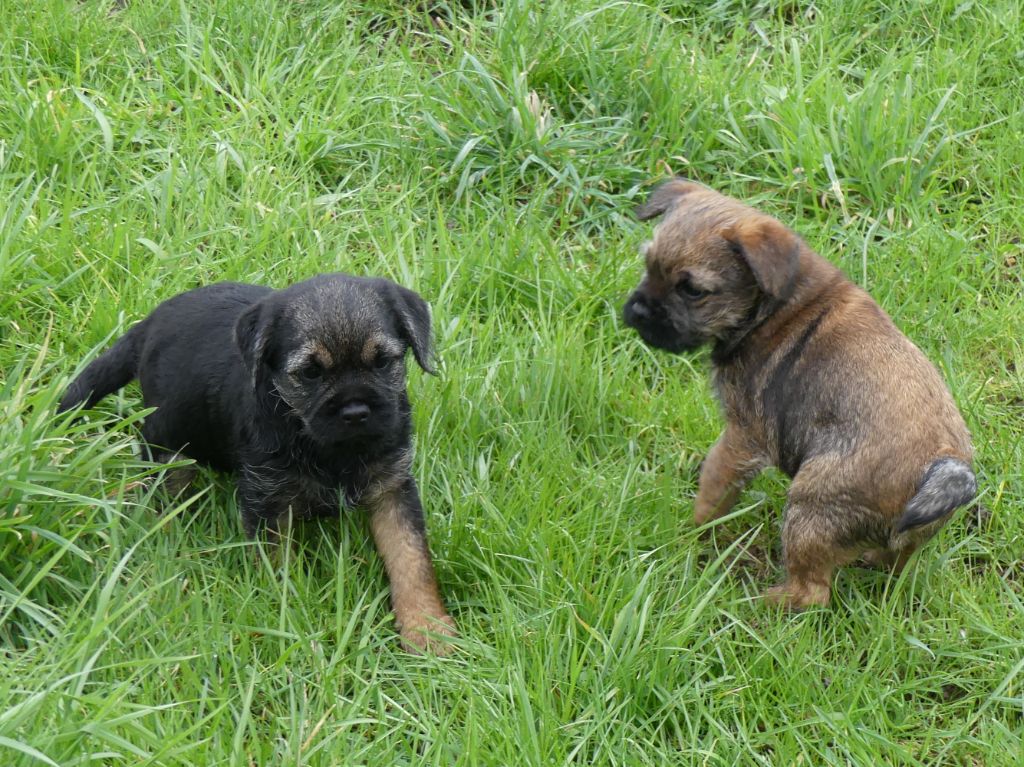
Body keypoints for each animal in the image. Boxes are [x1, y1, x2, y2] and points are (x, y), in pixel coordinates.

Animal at [58, 272, 454, 651]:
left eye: (383, 362)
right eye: (311, 373)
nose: (355, 411)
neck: (325, 445)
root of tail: (150, 322)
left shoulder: (393, 489)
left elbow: (411, 559)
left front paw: (427, 628)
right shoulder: (267, 502)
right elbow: (277, 568)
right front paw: (290, 619)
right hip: (168, 440)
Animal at [622, 181, 974, 610]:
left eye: (692, 291)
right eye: (647, 265)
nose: (637, 311)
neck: (777, 306)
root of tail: (943, 468)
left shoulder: (743, 436)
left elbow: (715, 483)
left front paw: (693, 528)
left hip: (810, 506)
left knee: (812, 592)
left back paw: (756, 600)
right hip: (887, 536)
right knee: (894, 562)